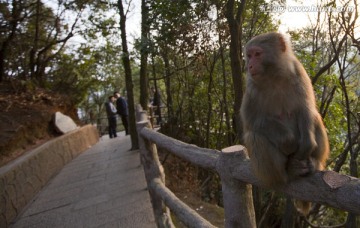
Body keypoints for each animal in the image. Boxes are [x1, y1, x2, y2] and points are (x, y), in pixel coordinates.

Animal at [240, 33, 330, 215]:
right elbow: (252, 121)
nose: (250, 65)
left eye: (257, 54)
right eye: (249, 55)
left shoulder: (298, 73)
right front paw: (289, 143)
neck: (274, 76)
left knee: (315, 117)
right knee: (254, 136)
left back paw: (314, 163)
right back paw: (288, 172)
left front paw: (308, 144)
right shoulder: (251, 85)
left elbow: (305, 108)